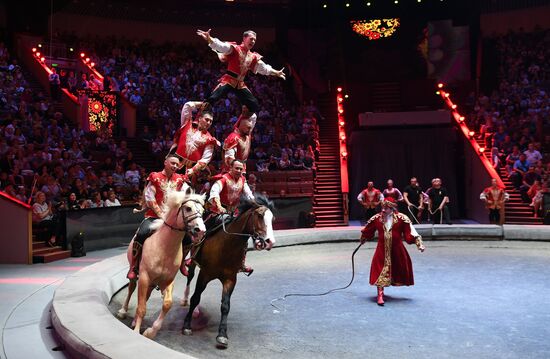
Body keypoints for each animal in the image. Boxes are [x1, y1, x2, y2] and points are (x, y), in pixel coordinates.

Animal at [116, 186, 207, 340]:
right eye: (188, 208)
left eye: (202, 211)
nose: (201, 230)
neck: (164, 248)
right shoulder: (144, 277)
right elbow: (142, 307)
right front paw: (137, 332)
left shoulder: (167, 281)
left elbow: (167, 304)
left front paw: (151, 331)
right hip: (137, 274)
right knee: (132, 288)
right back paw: (123, 311)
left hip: (152, 283)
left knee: (145, 296)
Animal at [181, 197, 276, 348]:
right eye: (260, 216)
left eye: (272, 219)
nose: (270, 242)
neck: (226, 246)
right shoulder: (204, 275)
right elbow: (195, 298)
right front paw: (187, 325)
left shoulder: (230, 279)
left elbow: (225, 306)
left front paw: (222, 335)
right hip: (193, 260)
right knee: (190, 278)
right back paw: (187, 301)